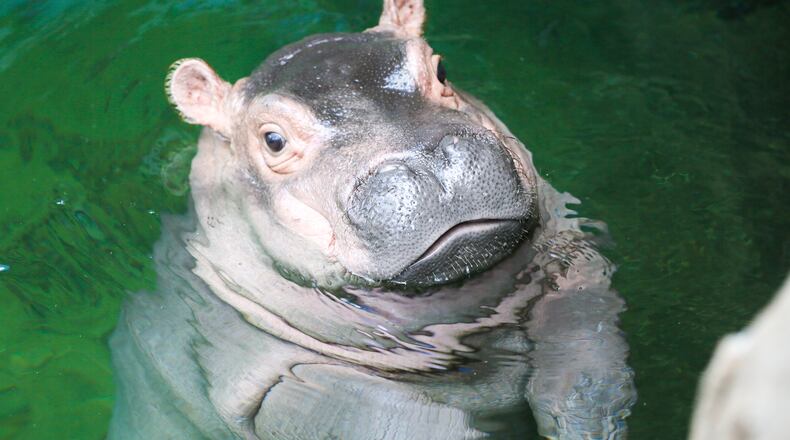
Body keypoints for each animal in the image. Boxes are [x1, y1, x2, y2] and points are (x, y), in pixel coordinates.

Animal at [109, 1, 636, 438]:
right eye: (272, 140)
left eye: (441, 67)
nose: (429, 159)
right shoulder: (287, 378)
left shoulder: (571, 254)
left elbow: (585, 346)